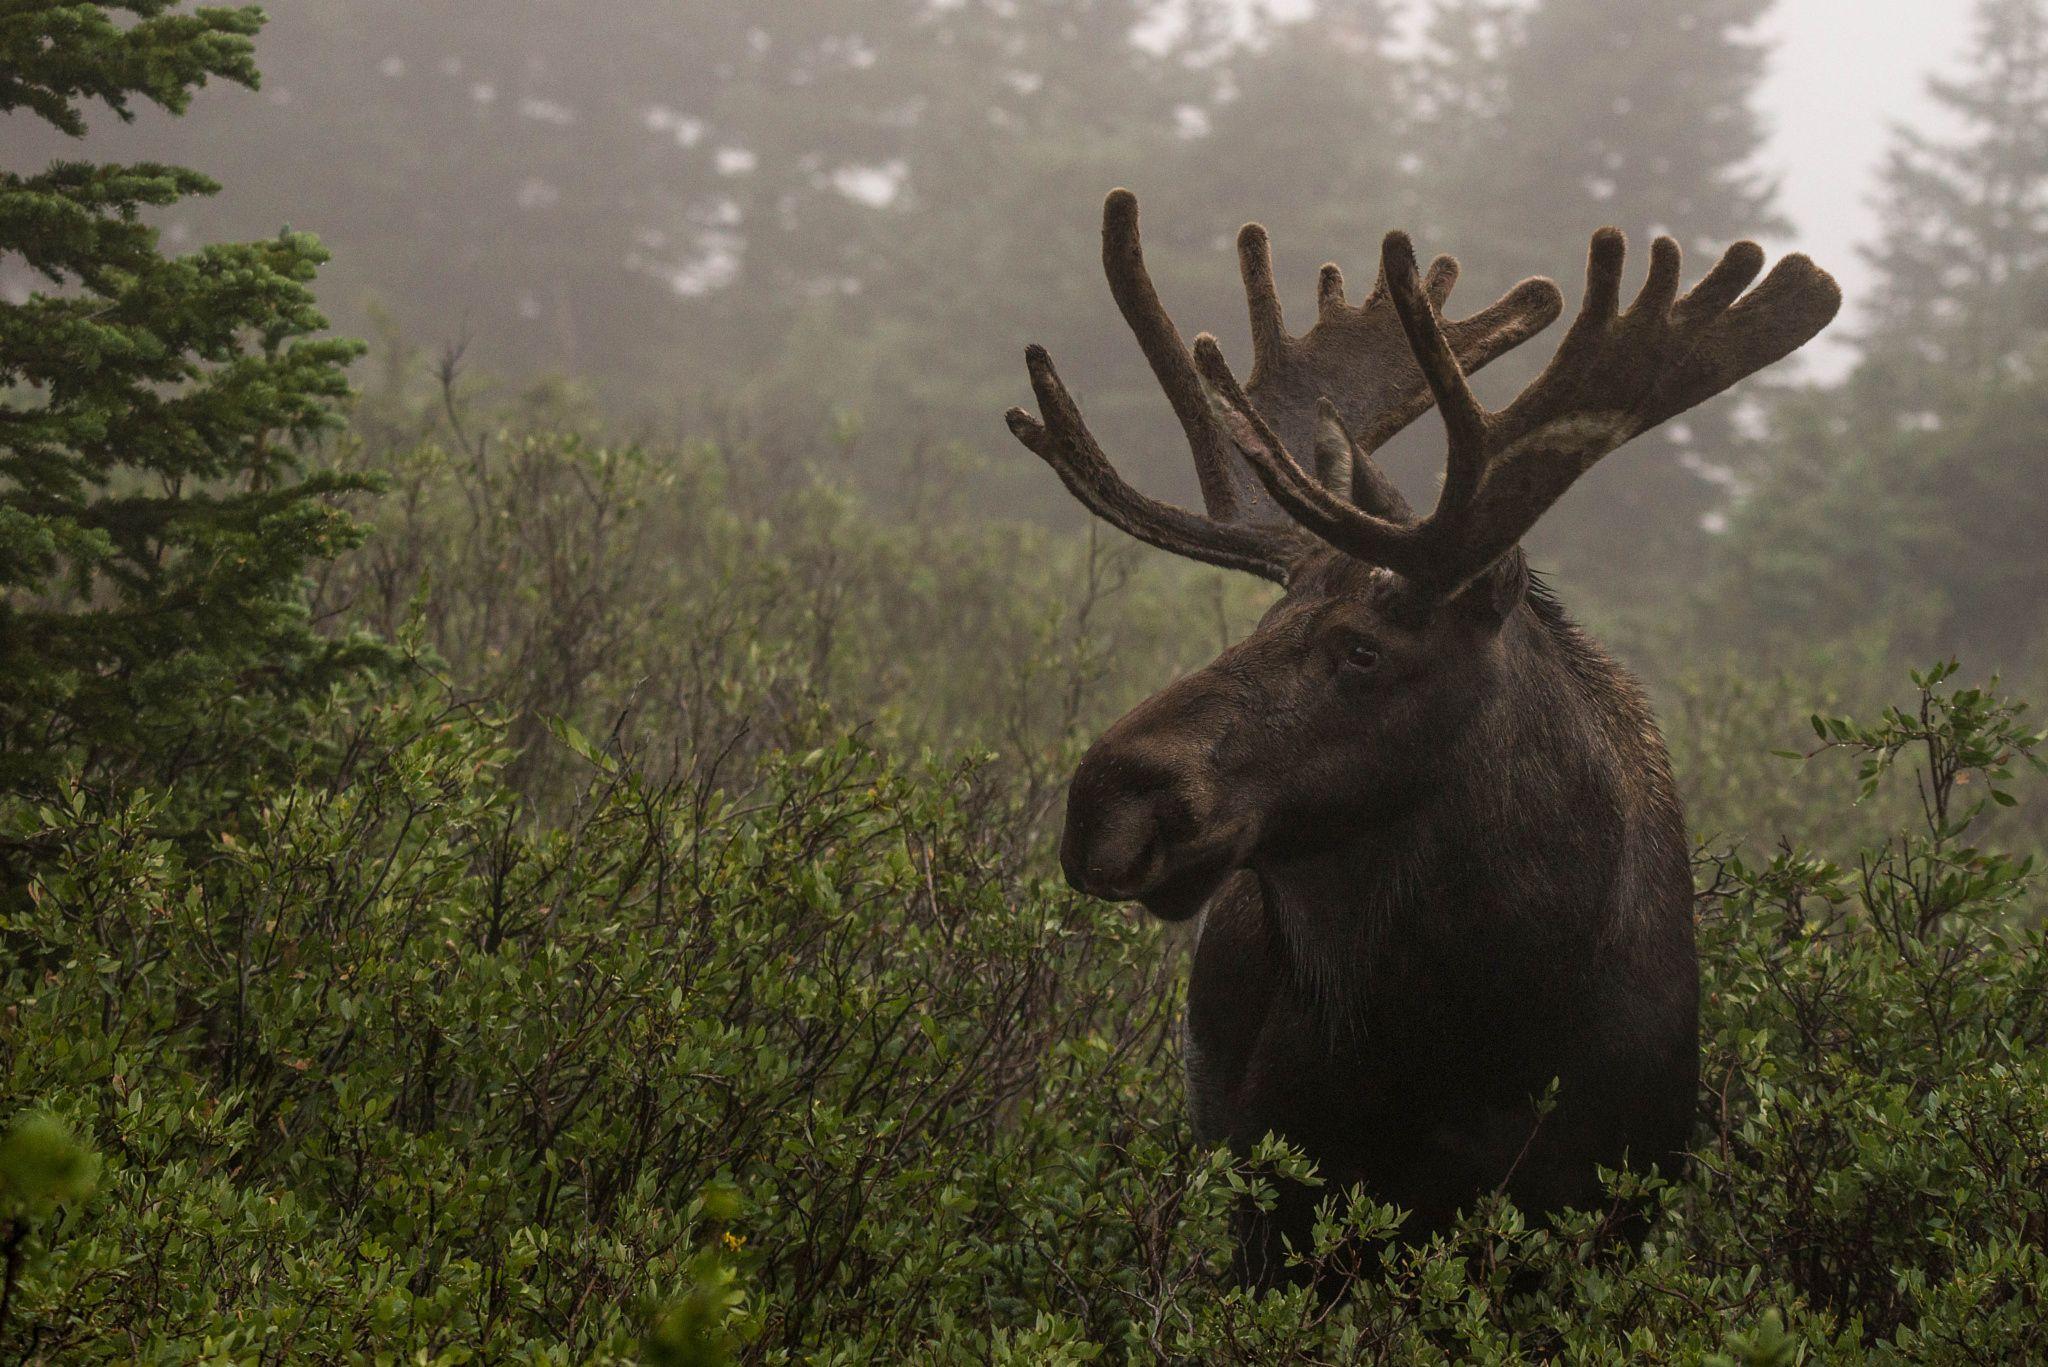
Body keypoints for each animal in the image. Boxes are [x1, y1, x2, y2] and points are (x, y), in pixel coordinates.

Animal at [1005, 189, 1839, 1286]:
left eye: (1362, 649)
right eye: (1259, 623)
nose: (1105, 798)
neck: (1476, 1029)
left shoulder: (1609, 1205)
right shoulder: (1280, 1196)